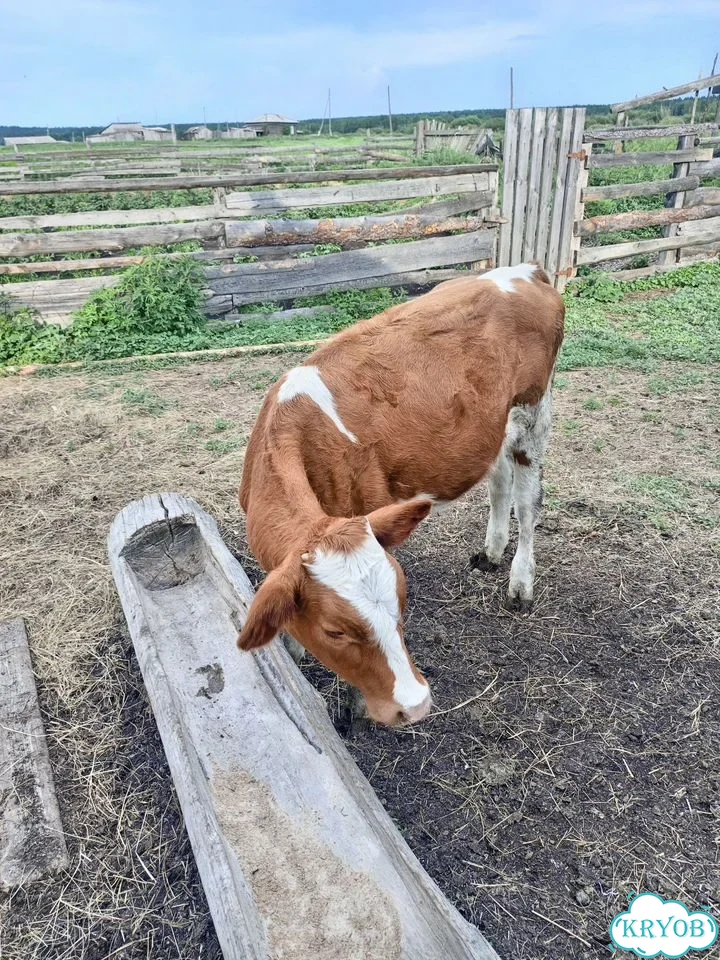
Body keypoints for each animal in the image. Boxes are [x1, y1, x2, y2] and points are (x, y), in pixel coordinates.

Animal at [237, 263, 564, 726]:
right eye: (334, 630)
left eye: (401, 600)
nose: (415, 704)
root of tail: (525, 269)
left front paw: (356, 705)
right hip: (494, 423)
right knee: (499, 481)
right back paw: (491, 552)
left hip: (535, 410)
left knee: (528, 501)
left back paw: (520, 583)